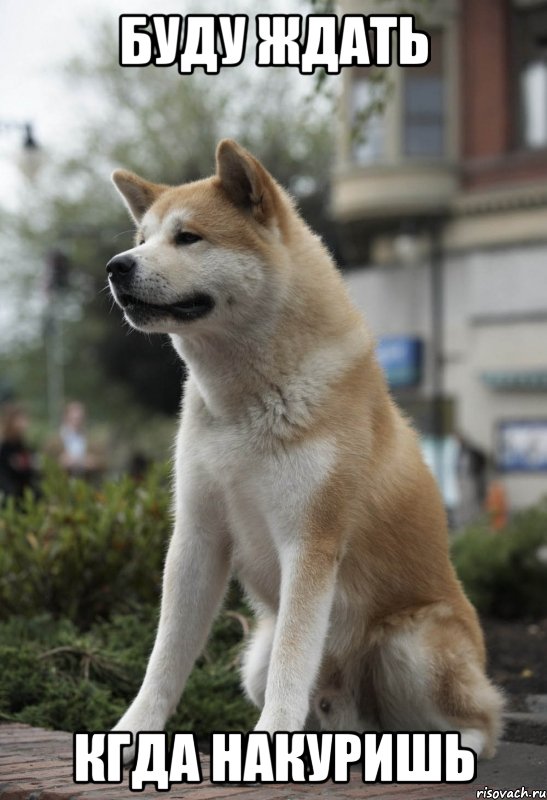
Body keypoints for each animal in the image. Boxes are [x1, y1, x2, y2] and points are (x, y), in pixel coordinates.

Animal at [107, 141, 506, 760]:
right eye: (143, 237)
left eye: (188, 237)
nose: (117, 265)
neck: (245, 403)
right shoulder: (197, 536)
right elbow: (165, 661)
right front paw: (131, 736)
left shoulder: (311, 541)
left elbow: (293, 663)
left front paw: (270, 742)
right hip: (256, 660)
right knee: (328, 708)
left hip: (411, 645)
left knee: (479, 725)